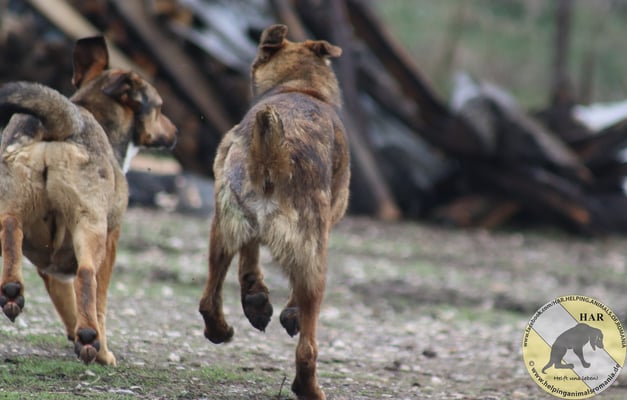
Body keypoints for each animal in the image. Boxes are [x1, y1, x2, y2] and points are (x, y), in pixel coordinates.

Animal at [0, 36, 177, 365]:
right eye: (159, 108)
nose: (175, 132)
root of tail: (63, 125)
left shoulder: (51, 269)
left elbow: (67, 303)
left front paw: (80, 337)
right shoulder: (111, 242)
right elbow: (98, 300)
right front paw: (99, 348)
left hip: (13, 205)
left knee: (11, 229)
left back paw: (13, 291)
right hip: (90, 227)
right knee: (85, 275)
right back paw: (89, 336)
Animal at [198, 24, 350, 400]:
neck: (300, 85)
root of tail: (272, 151)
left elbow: (249, 258)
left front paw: (256, 297)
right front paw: (285, 311)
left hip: (222, 226)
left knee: (208, 298)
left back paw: (220, 329)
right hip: (314, 257)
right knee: (308, 346)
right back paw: (308, 388)